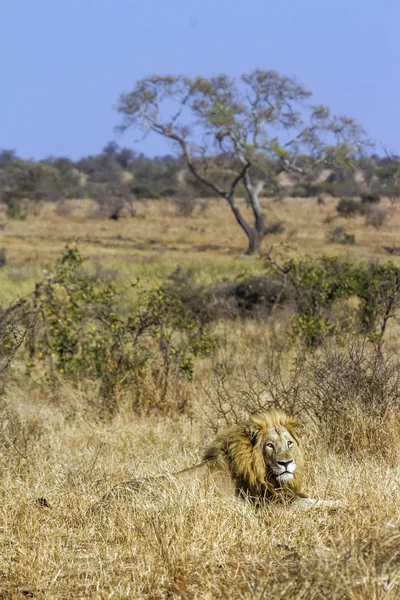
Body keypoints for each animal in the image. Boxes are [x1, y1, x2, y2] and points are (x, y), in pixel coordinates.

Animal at [94, 408, 340, 510]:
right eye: (270, 446)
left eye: (289, 443)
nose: (286, 463)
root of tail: (100, 504)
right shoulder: (271, 509)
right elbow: (314, 504)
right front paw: (342, 505)